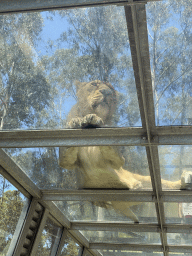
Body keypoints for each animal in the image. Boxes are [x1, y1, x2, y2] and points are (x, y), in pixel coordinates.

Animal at [59, 80, 192, 222]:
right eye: (94, 84)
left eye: (111, 89)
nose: (107, 92)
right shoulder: (67, 163)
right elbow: (66, 152)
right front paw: (75, 123)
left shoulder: (118, 160)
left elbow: (111, 147)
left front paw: (95, 121)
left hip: (146, 180)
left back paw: (183, 180)